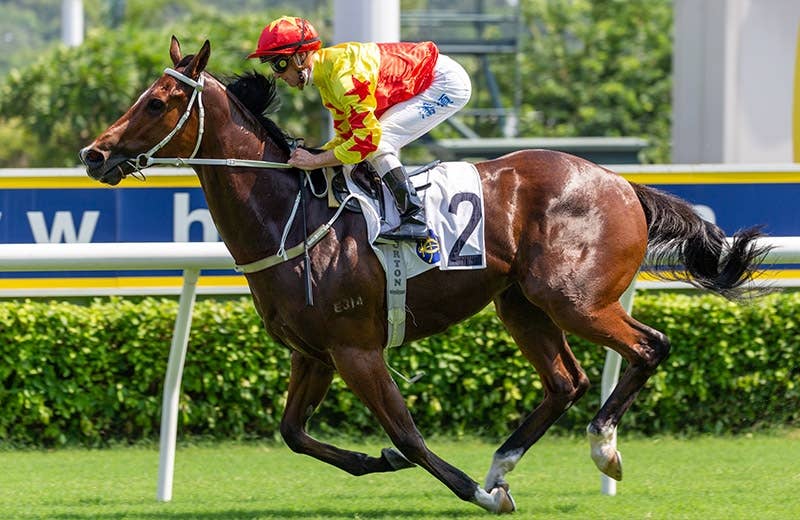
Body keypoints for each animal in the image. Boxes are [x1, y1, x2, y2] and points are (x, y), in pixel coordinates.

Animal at [79, 38, 768, 514]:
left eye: (156, 102)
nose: (92, 154)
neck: (291, 218)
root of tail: (622, 182)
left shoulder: (356, 349)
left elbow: (408, 436)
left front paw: (473, 494)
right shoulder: (313, 353)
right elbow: (294, 433)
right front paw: (373, 459)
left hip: (573, 298)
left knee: (649, 347)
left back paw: (601, 447)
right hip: (520, 303)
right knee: (565, 381)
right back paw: (502, 464)